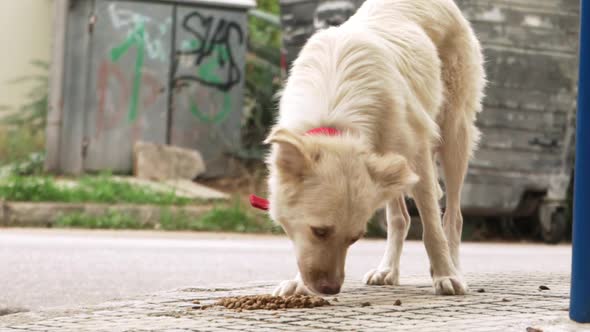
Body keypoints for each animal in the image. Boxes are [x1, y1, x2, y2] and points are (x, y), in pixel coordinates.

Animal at [266, 0, 488, 296]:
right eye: (319, 231)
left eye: (355, 237)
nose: (331, 289)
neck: (337, 122)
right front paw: (298, 283)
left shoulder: (418, 158)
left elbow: (431, 227)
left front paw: (445, 275)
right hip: (390, 164)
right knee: (400, 219)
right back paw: (387, 270)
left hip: (453, 138)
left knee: (453, 217)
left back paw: (454, 268)